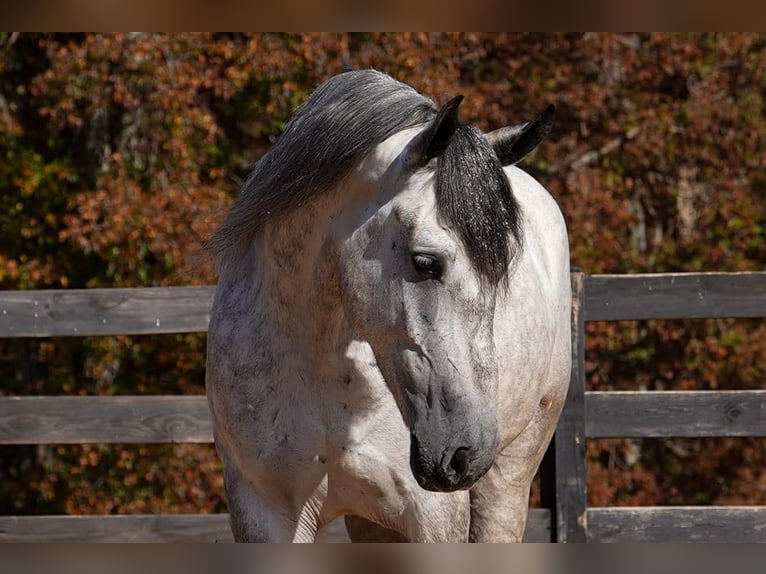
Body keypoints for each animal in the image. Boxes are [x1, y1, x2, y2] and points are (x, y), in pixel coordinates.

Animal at [205, 70, 571, 542]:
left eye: (503, 272)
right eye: (425, 262)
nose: (465, 451)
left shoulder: (433, 517)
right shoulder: (262, 511)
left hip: (507, 481)